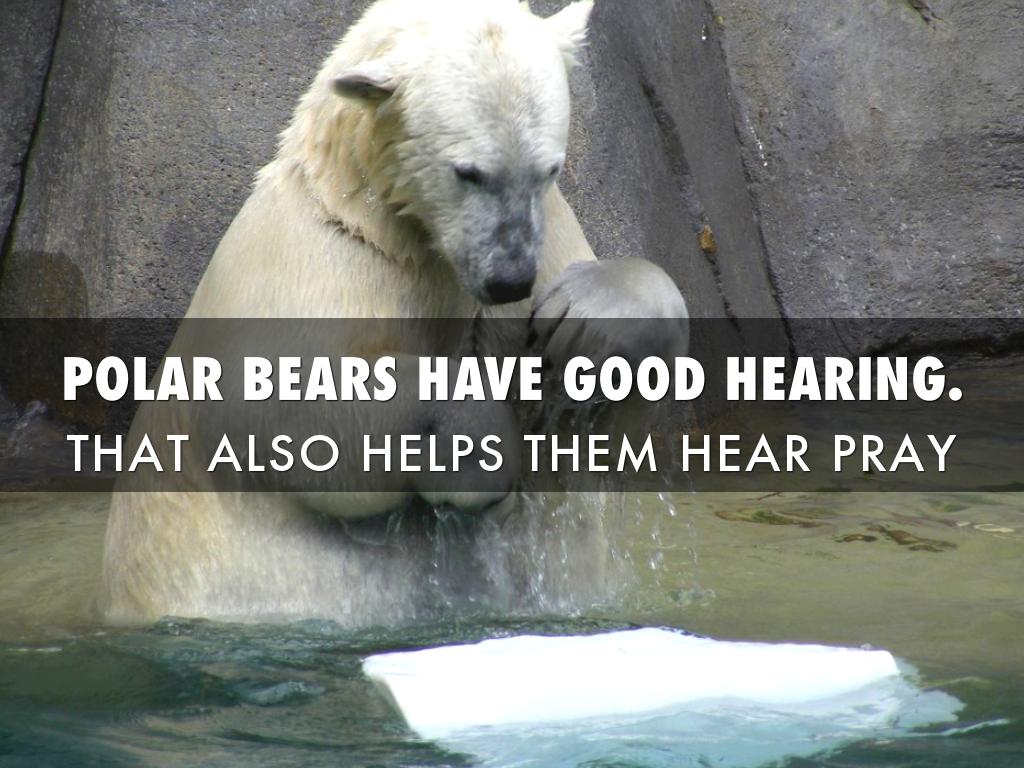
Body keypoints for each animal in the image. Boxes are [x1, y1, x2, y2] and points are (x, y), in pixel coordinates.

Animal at [100, 0, 689, 626]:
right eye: (468, 171)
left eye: (550, 169)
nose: (509, 278)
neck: (393, 231)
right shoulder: (318, 265)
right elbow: (296, 407)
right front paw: (476, 447)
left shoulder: (542, 243)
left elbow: (596, 432)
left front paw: (582, 322)